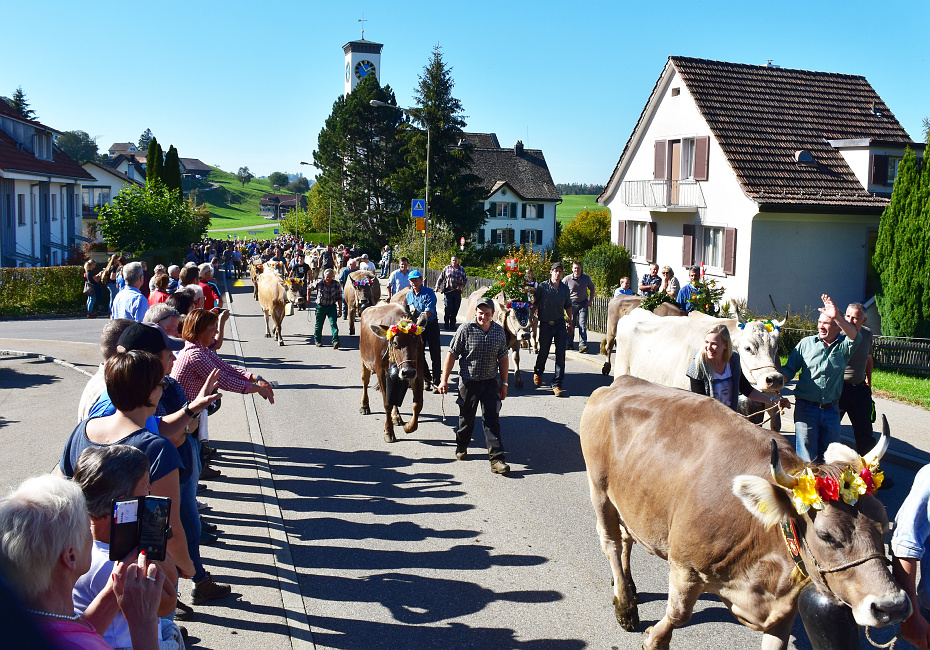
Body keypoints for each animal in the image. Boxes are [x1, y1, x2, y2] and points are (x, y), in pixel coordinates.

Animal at [358, 302, 426, 442]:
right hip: (364, 360)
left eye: (419, 342)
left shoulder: (418, 372)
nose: (408, 372)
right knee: (365, 381)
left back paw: (396, 417)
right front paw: (389, 431)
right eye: (395, 343)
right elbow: (387, 404)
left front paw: (409, 427)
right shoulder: (380, 372)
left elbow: (418, 404)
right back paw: (364, 406)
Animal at [580, 374, 908, 648]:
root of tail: (621, 381)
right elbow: (677, 615)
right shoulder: (685, 567)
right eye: (827, 536)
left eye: (886, 529)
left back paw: (626, 585)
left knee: (626, 538)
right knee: (611, 541)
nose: (892, 606)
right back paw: (625, 605)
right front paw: (653, 637)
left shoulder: (783, 609)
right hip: (600, 490)